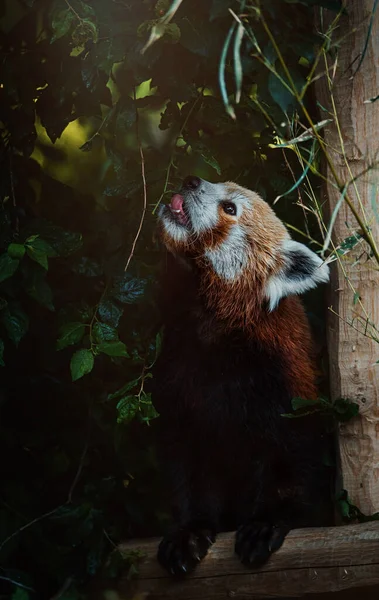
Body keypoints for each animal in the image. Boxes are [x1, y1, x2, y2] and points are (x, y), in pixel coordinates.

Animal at [153, 175, 332, 576]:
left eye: (230, 208)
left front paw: (266, 523)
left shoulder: (282, 380)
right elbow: (188, 466)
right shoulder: (179, 378)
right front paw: (189, 532)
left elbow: (293, 458)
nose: (190, 180)